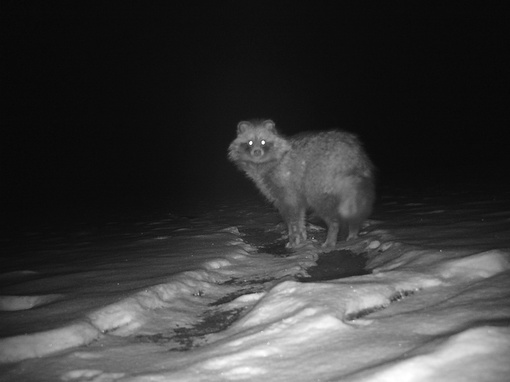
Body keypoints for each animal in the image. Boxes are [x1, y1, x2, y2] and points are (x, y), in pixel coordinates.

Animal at [227, 119, 374, 248]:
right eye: (250, 142)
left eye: (263, 142)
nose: (257, 152)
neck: (263, 163)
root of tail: (351, 151)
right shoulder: (295, 195)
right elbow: (300, 218)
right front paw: (302, 238)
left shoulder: (286, 190)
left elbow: (292, 220)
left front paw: (294, 240)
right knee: (354, 207)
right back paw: (353, 232)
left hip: (318, 183)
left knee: (332, 215)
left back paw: (332, 237)